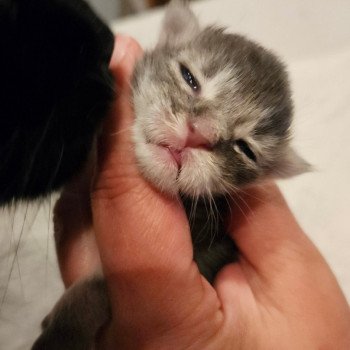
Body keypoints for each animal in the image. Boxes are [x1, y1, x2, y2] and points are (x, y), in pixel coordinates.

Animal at [31, 1, 308, 348]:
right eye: (189, 78)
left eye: (245, 149)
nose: (198, 134)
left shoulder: (207, 256)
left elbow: (96, 288)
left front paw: (61, 333)